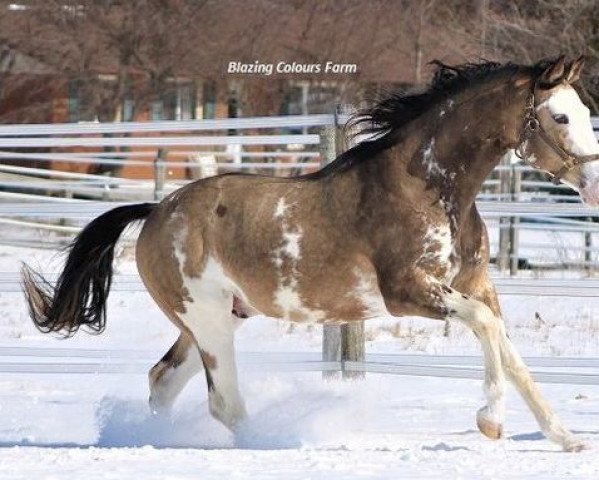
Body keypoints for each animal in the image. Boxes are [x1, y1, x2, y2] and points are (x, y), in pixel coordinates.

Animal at [23, 56, 599, 450]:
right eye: (560, 118)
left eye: (583, 112)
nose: (594, 186)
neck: (429, 188)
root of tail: (156, 211)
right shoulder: (409, 293)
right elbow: (485, 327)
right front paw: (490, 422)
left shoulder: (476, 284)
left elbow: (509, 350)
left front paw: (565, 438)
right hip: (208, 321)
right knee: (223, 401)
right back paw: (264, 441)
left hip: (216, 320)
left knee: (163, 382)